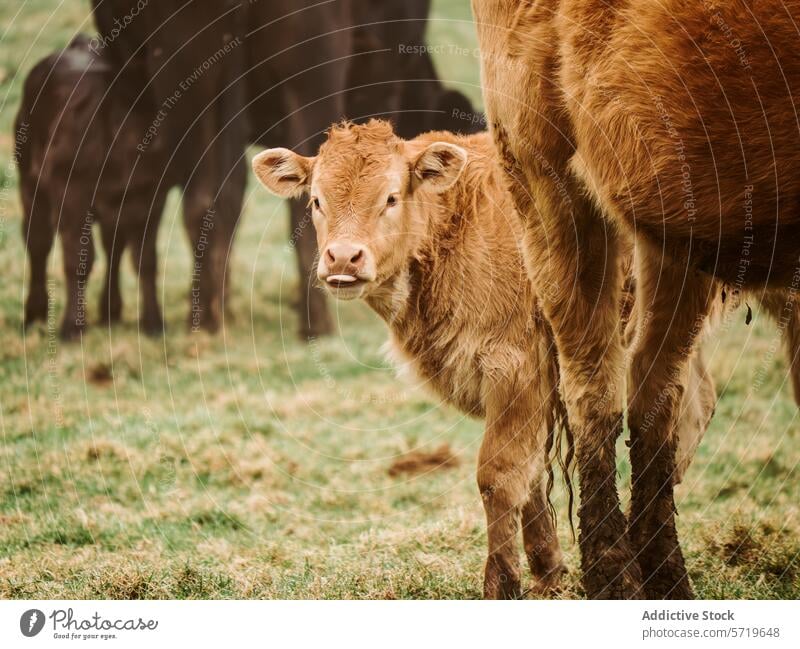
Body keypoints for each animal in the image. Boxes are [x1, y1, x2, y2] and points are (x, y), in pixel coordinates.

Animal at [472, 0, 800, 596]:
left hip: (674, 225)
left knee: (654, 388)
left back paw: (665, 576)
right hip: (546, 179)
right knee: (594, 385)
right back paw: (613, 576)